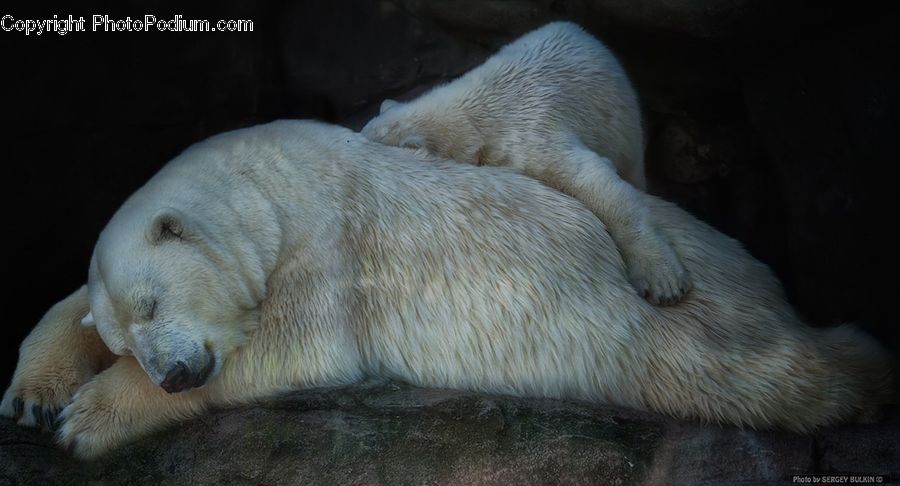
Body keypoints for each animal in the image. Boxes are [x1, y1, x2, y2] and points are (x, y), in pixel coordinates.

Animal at [1, 120, 893, 459]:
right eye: (126, 331)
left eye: (154, 306)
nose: (176, 374)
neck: (270, 181)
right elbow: (64, 308)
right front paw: (32, 396)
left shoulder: (328, 240)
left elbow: (297, 343)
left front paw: (88, 417)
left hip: (668, 322)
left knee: (755, 369)